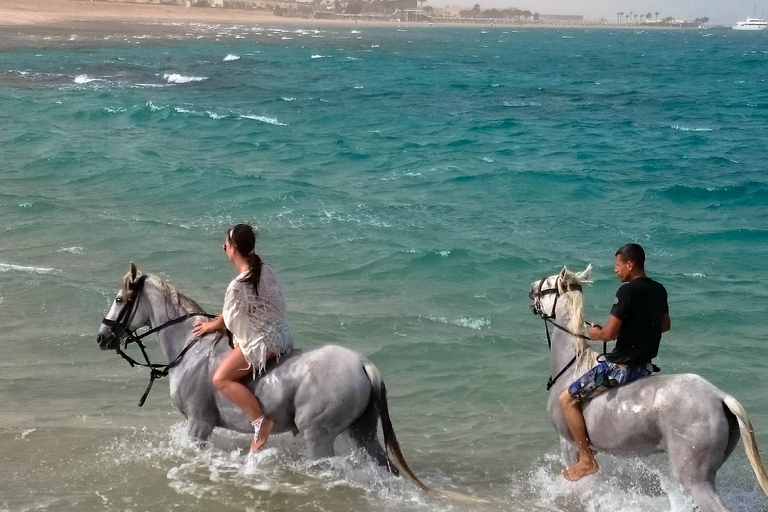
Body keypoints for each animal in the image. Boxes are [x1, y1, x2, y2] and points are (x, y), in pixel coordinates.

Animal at [96, 266, 428, 490]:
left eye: (120, 299)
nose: (102, 338)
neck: (192, 348)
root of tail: (362, 364)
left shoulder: (198, 425)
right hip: (363, 433)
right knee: (385, 466)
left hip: (319, 437)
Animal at [528, 266, 768, 510]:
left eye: (547, 285)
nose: (530, 289)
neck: (572, 367)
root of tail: (720, 396)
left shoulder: (569, 444)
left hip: (694, 477)